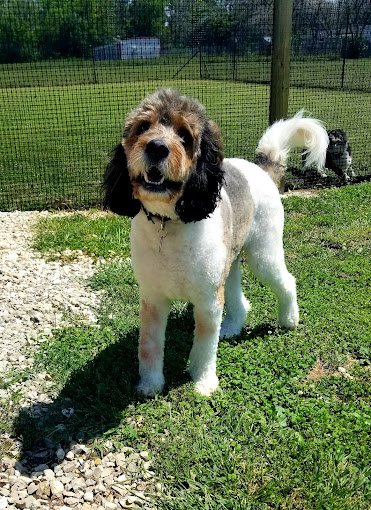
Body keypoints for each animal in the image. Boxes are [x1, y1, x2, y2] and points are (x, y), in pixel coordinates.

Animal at [103, 89, 330, 396]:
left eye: (184, 135)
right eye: (143, 128)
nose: (157, 147)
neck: (170, 223)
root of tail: (261, 167)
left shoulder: (208, 300)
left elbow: (204, 344)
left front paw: (203, 382)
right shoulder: (153, 299)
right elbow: (149, 345)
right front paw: (150, 384)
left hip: (263, 254)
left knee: (287, 281)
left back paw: (289, 320)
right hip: (230, 264)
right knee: (240, 299)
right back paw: (233, 326)